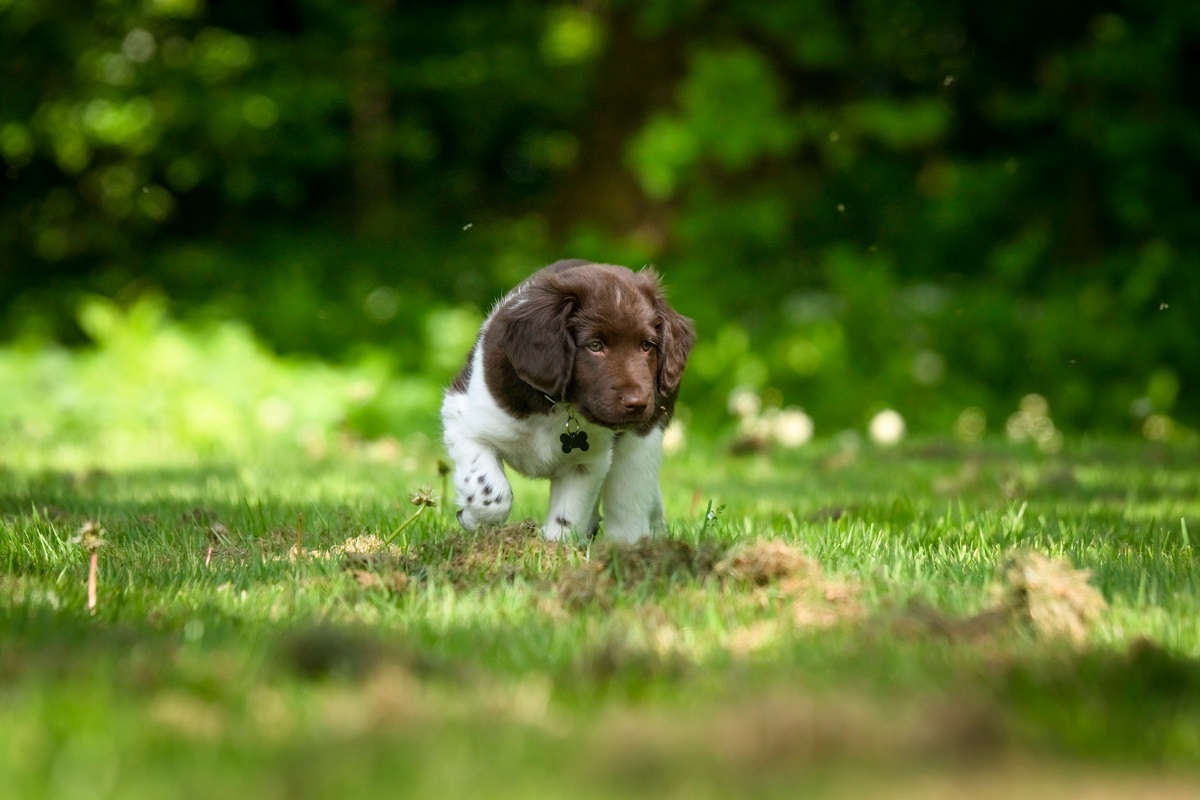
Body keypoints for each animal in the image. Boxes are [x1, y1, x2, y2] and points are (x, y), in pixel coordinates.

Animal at [441, 260, 696, 542]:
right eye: (595, 345)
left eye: (647, 345)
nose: (638, 404)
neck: (557, 406)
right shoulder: (463, 419)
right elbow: (491, 493)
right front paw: (471, 519)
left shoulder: (588, 462)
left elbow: (568, 516)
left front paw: (555, 548)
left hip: (641, 442)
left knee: (629, 499)